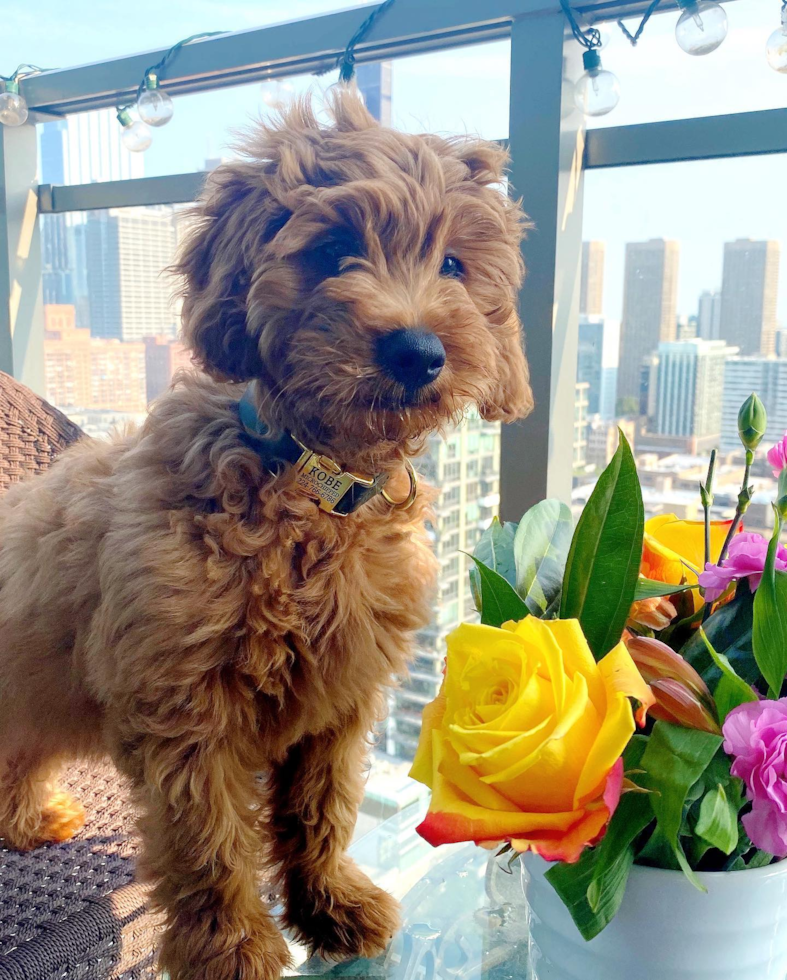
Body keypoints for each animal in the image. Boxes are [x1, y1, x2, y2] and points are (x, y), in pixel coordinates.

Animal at [0, 92, 532, 980]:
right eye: (333, 250)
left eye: (455, 266)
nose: (417, 351)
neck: (310, 485)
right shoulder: (184, 706)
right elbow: (209, 840)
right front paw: (233, 949)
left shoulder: (338, 696)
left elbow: (322, 808)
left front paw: (329, 904)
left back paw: (26, 820)